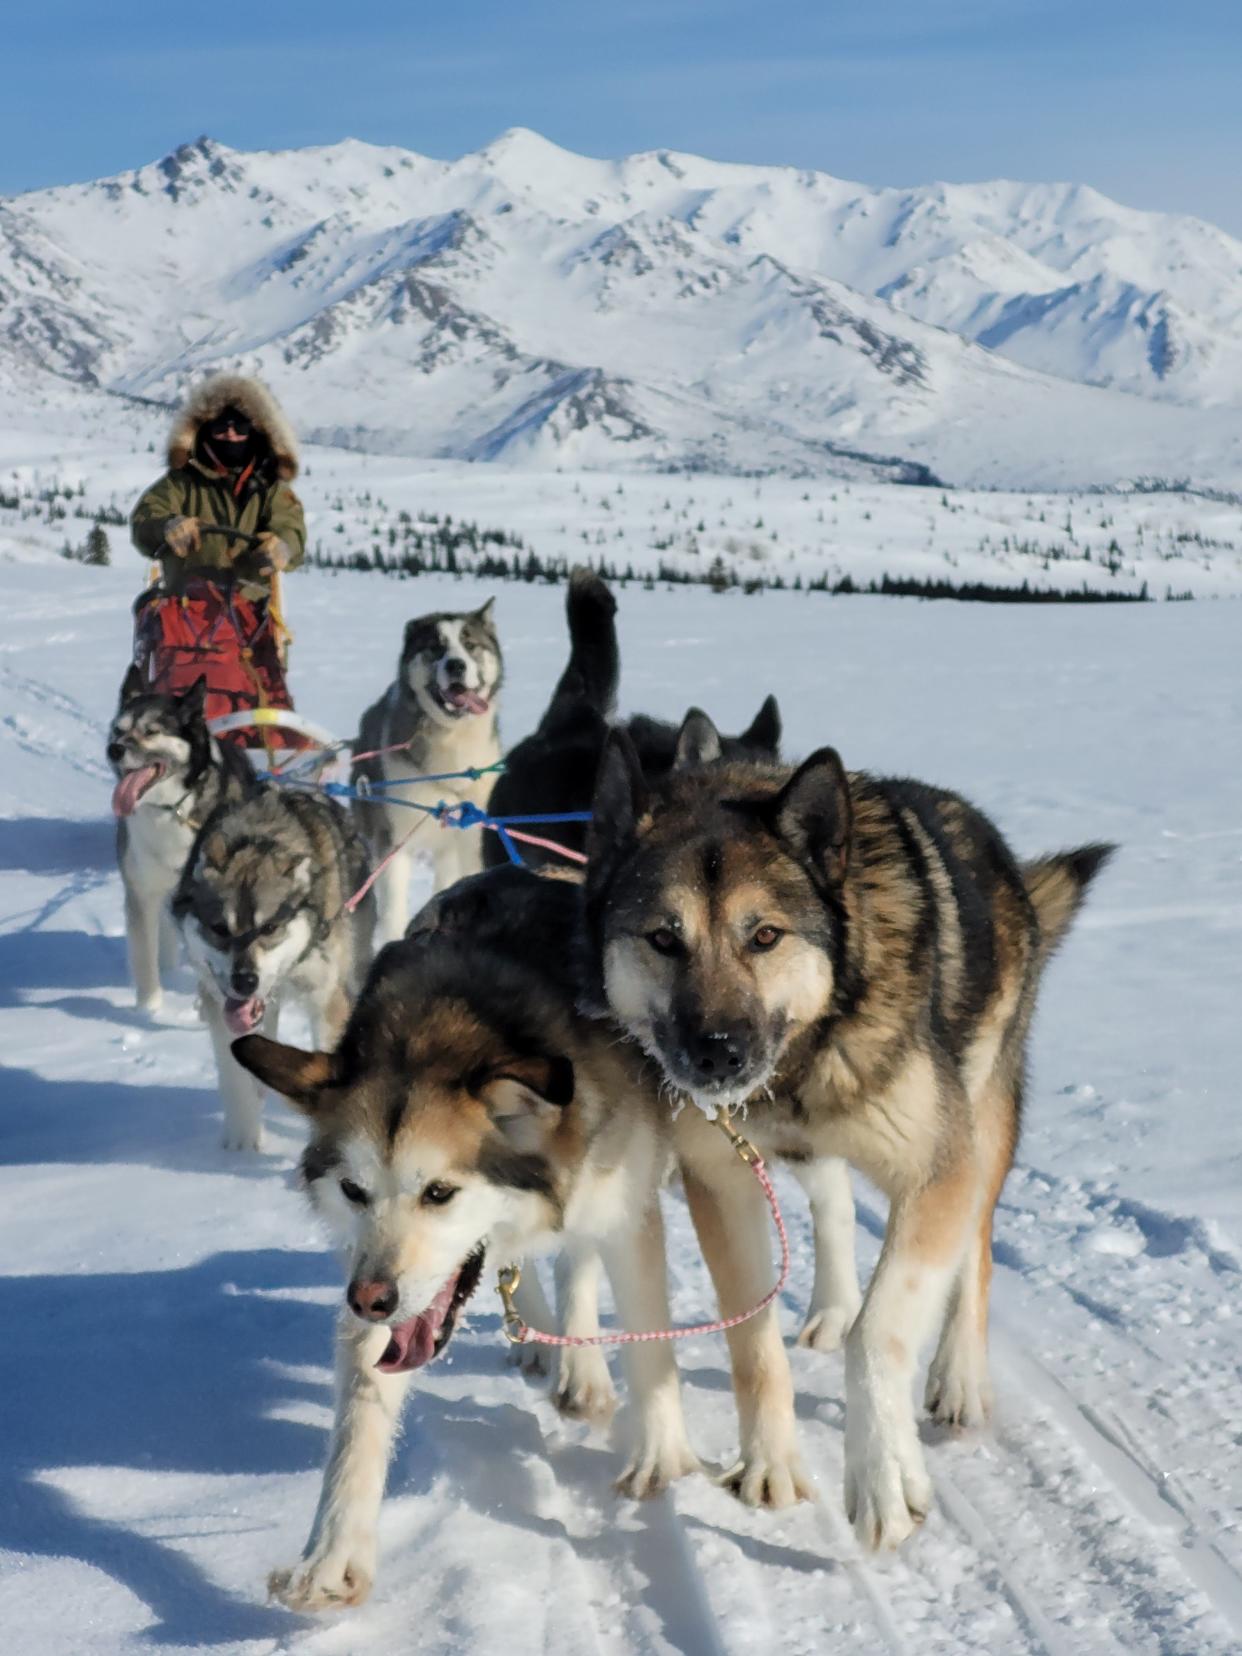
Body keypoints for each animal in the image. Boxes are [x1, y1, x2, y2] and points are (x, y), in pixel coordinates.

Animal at [109, 665, 258, 1013]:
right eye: (118, 730)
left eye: (151, 731)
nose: (114, 749)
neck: (172, 810)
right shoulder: (142, 892)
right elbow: (145, 959)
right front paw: (149, 1010)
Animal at [173, 781, 374, 1145]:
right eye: (219, 928)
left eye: (269, 927)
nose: (244, 981)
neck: (257, 837)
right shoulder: (221, 1006)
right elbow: (236, 1080)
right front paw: (241, 1144)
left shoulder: (327, 1000)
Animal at [233, 861, 702, 1609]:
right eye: (354, 1191)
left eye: (439, 1192)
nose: (370, 1299)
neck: (436, 1034)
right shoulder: (370, 1266)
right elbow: (361, 1414)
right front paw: (331, 1556)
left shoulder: (625, 1210)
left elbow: (648, 1341)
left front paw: (659, 1455)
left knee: (576, 1260)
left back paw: (580, 1369)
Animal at [352, 599, 503, 940]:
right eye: (436, 647)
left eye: (470, 644)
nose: (456, 665)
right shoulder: (394, 840)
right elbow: (394, 909)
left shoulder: (471, 839)